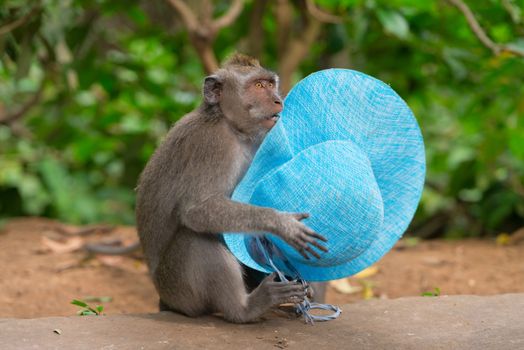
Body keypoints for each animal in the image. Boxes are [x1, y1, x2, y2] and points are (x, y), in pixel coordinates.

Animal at [135, 53, 328, 324]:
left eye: (271, 84)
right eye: (258, 86)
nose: (278, 100)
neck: (233, 128)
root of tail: (165, 299)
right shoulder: (213, 144)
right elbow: (198, 209)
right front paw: (281, 223)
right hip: (179, 290)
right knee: (195, 240)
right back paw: (245, 308)